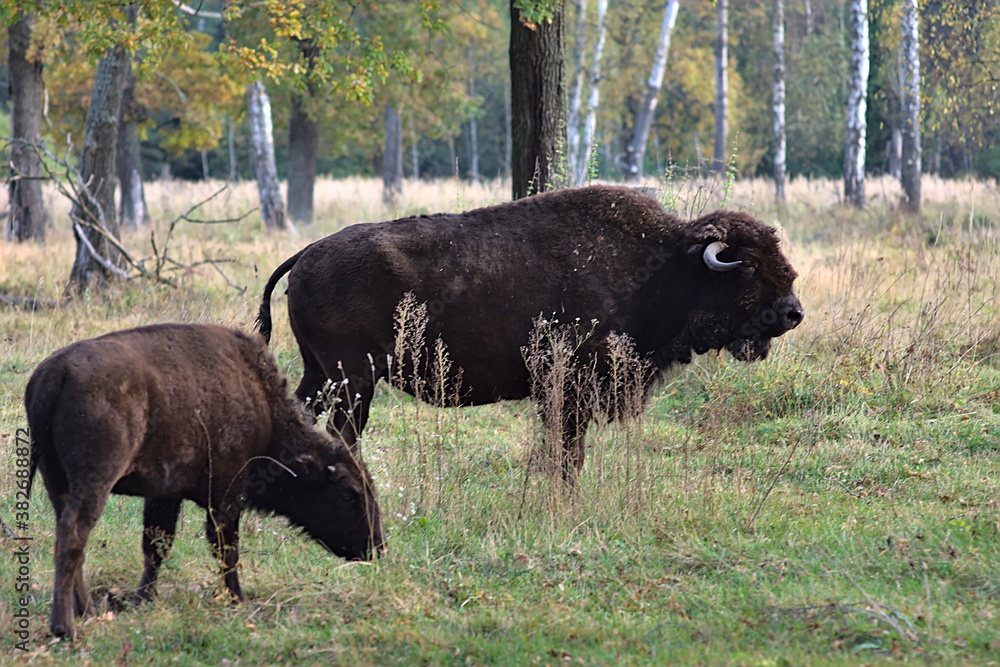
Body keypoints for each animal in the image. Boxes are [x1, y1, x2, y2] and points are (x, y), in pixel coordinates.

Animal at [24, 326, 382, 640]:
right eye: (348, 495)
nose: (377, 547)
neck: (261, 406)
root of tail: (54, 375)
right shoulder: (226, 494)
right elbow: (225, 548)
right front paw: (237, 599)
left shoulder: (165, 494)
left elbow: (156, 546)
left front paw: (144, 600)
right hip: (95, 480)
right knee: (74, 534)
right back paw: (65, 627)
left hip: (56, 481)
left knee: (68, 535)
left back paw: (86, 610)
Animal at [260, 187, 804, 480]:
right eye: (748, 265)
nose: (793, 312)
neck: (666, 264)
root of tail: (306, 254)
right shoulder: (572, 387)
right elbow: (568, 451)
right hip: (353, 379)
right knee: (342, 434)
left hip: (320, 374)